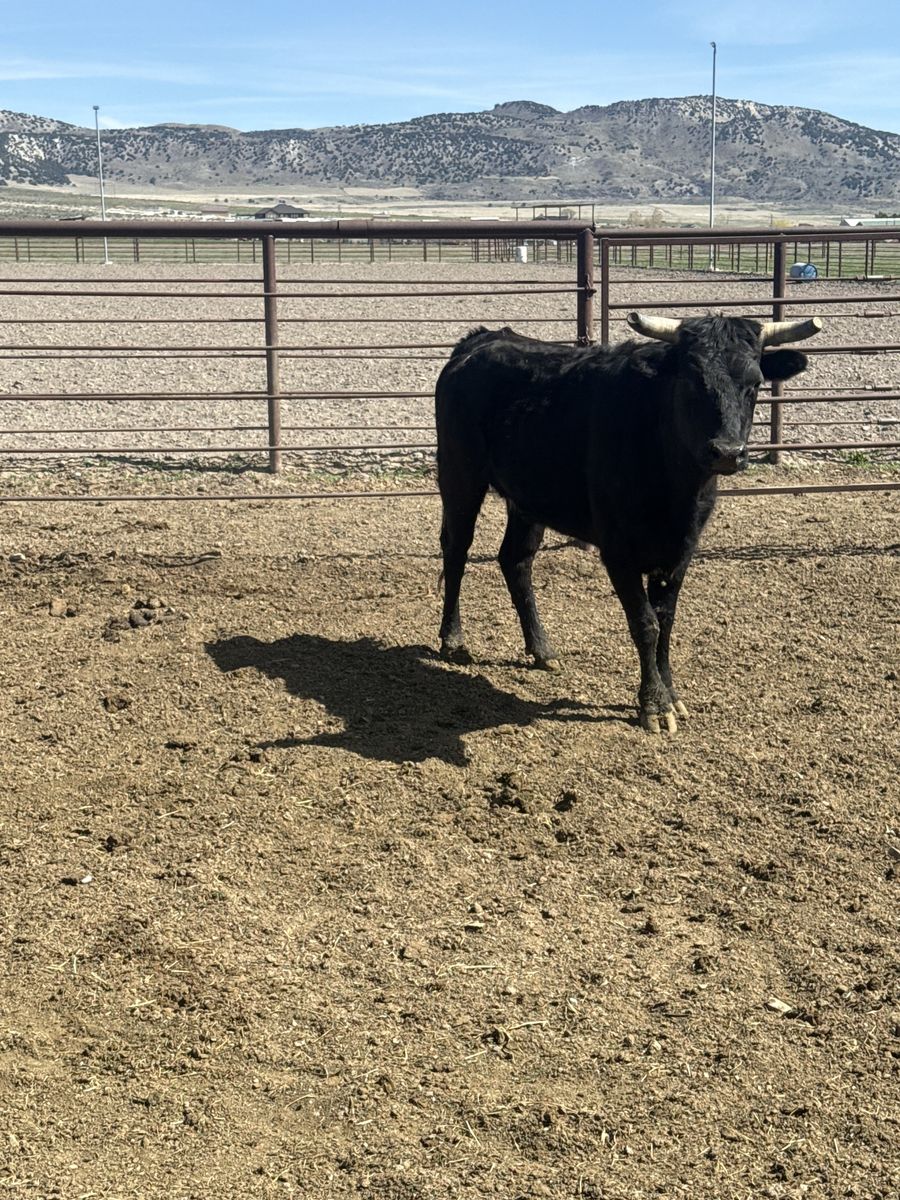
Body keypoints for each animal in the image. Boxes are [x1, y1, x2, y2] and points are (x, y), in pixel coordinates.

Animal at [434, 311, 823, 733]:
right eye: (692, 379)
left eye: (754, 384)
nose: (727, 452)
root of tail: (482, 338)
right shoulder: (618, 550)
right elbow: (645, 623)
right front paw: (653, 704)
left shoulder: (681, 550)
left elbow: (666, 621)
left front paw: (671, 694)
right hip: (460, 476)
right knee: (456, 551)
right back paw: (453, 639)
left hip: (527, 500)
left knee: (515, 560)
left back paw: (542, 649)